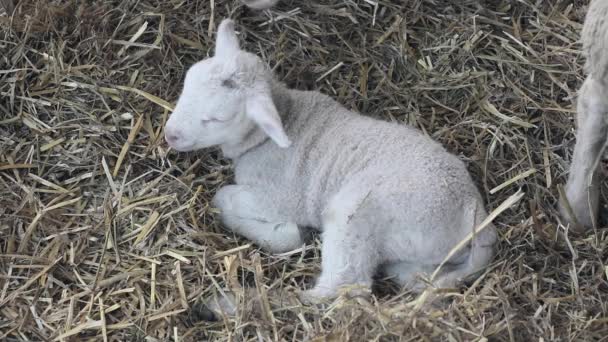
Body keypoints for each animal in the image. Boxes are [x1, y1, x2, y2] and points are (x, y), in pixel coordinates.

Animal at [164, 18, 496, 302]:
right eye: (187, 83)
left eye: (215, 119)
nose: (169, 135)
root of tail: (475, 213)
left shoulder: (278, 198)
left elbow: (224, 197)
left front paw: (283, 232)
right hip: (416, 259)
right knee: (410, 278)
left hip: (356, 213)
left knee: (347, 285)